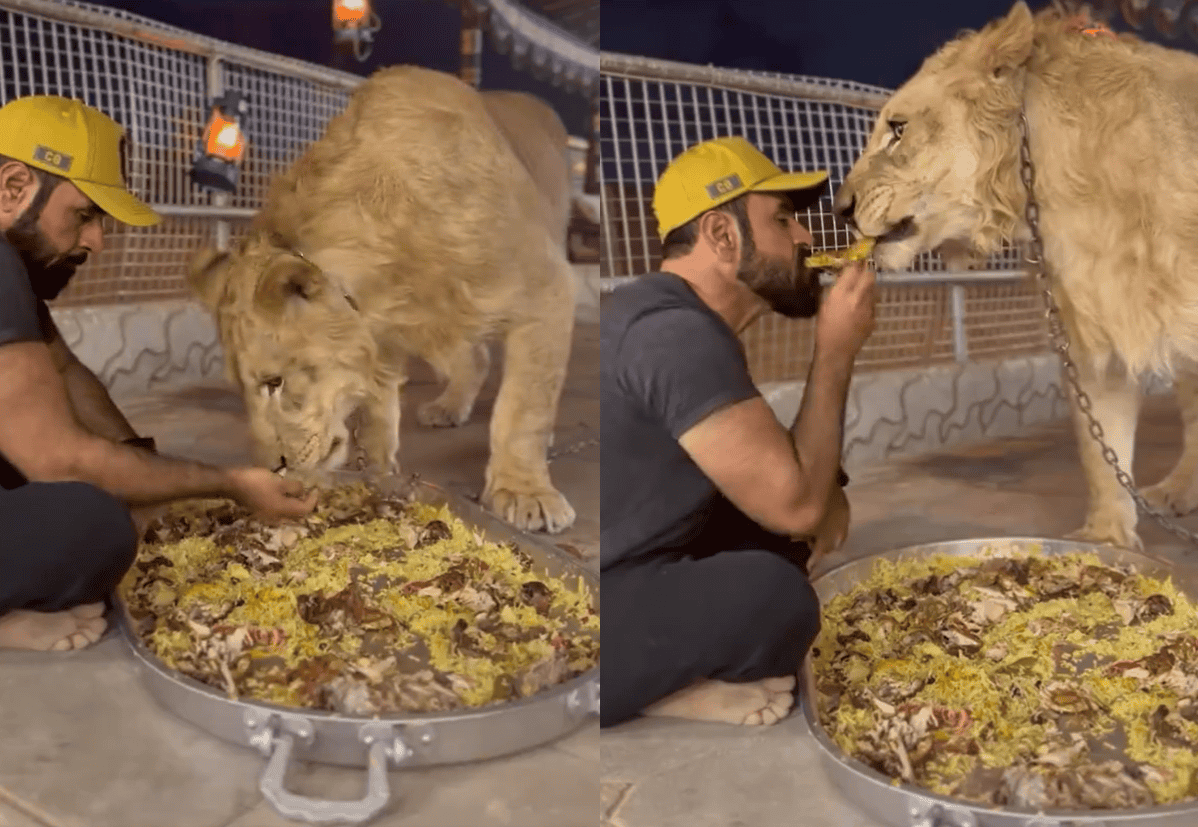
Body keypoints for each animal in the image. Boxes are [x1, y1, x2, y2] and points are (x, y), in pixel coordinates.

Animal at [186, 64, 579, 527]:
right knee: (475, 357)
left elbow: (525, 407)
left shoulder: (546, 287)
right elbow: (377, 408)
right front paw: (375, 472)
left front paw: (524, 493)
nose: (271, 468)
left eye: (274, 382)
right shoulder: (386, 330)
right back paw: (447, 407)